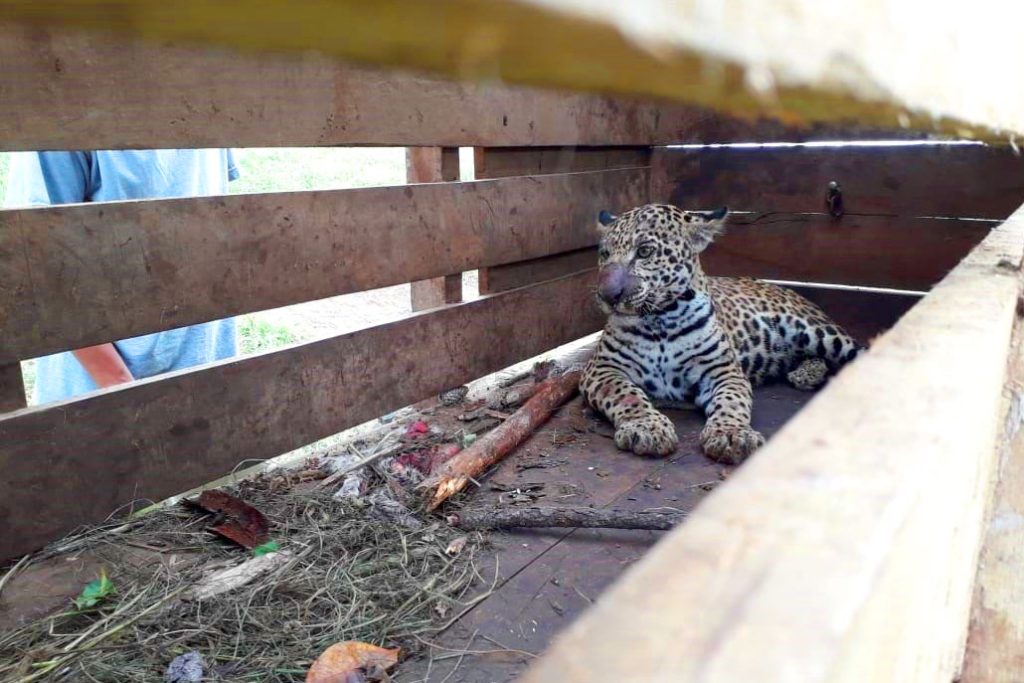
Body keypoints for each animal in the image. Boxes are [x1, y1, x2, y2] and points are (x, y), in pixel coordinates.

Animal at [580, 203, 865, 464]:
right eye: (604, 254)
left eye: (644, 251)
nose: (607, 295)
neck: (660, 320)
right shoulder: (602, 369)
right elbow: (626, 394)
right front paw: (647, 428)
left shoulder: (723, 371)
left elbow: (731, 401)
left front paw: (732, 435)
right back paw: (804, 374)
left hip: (822, 333)